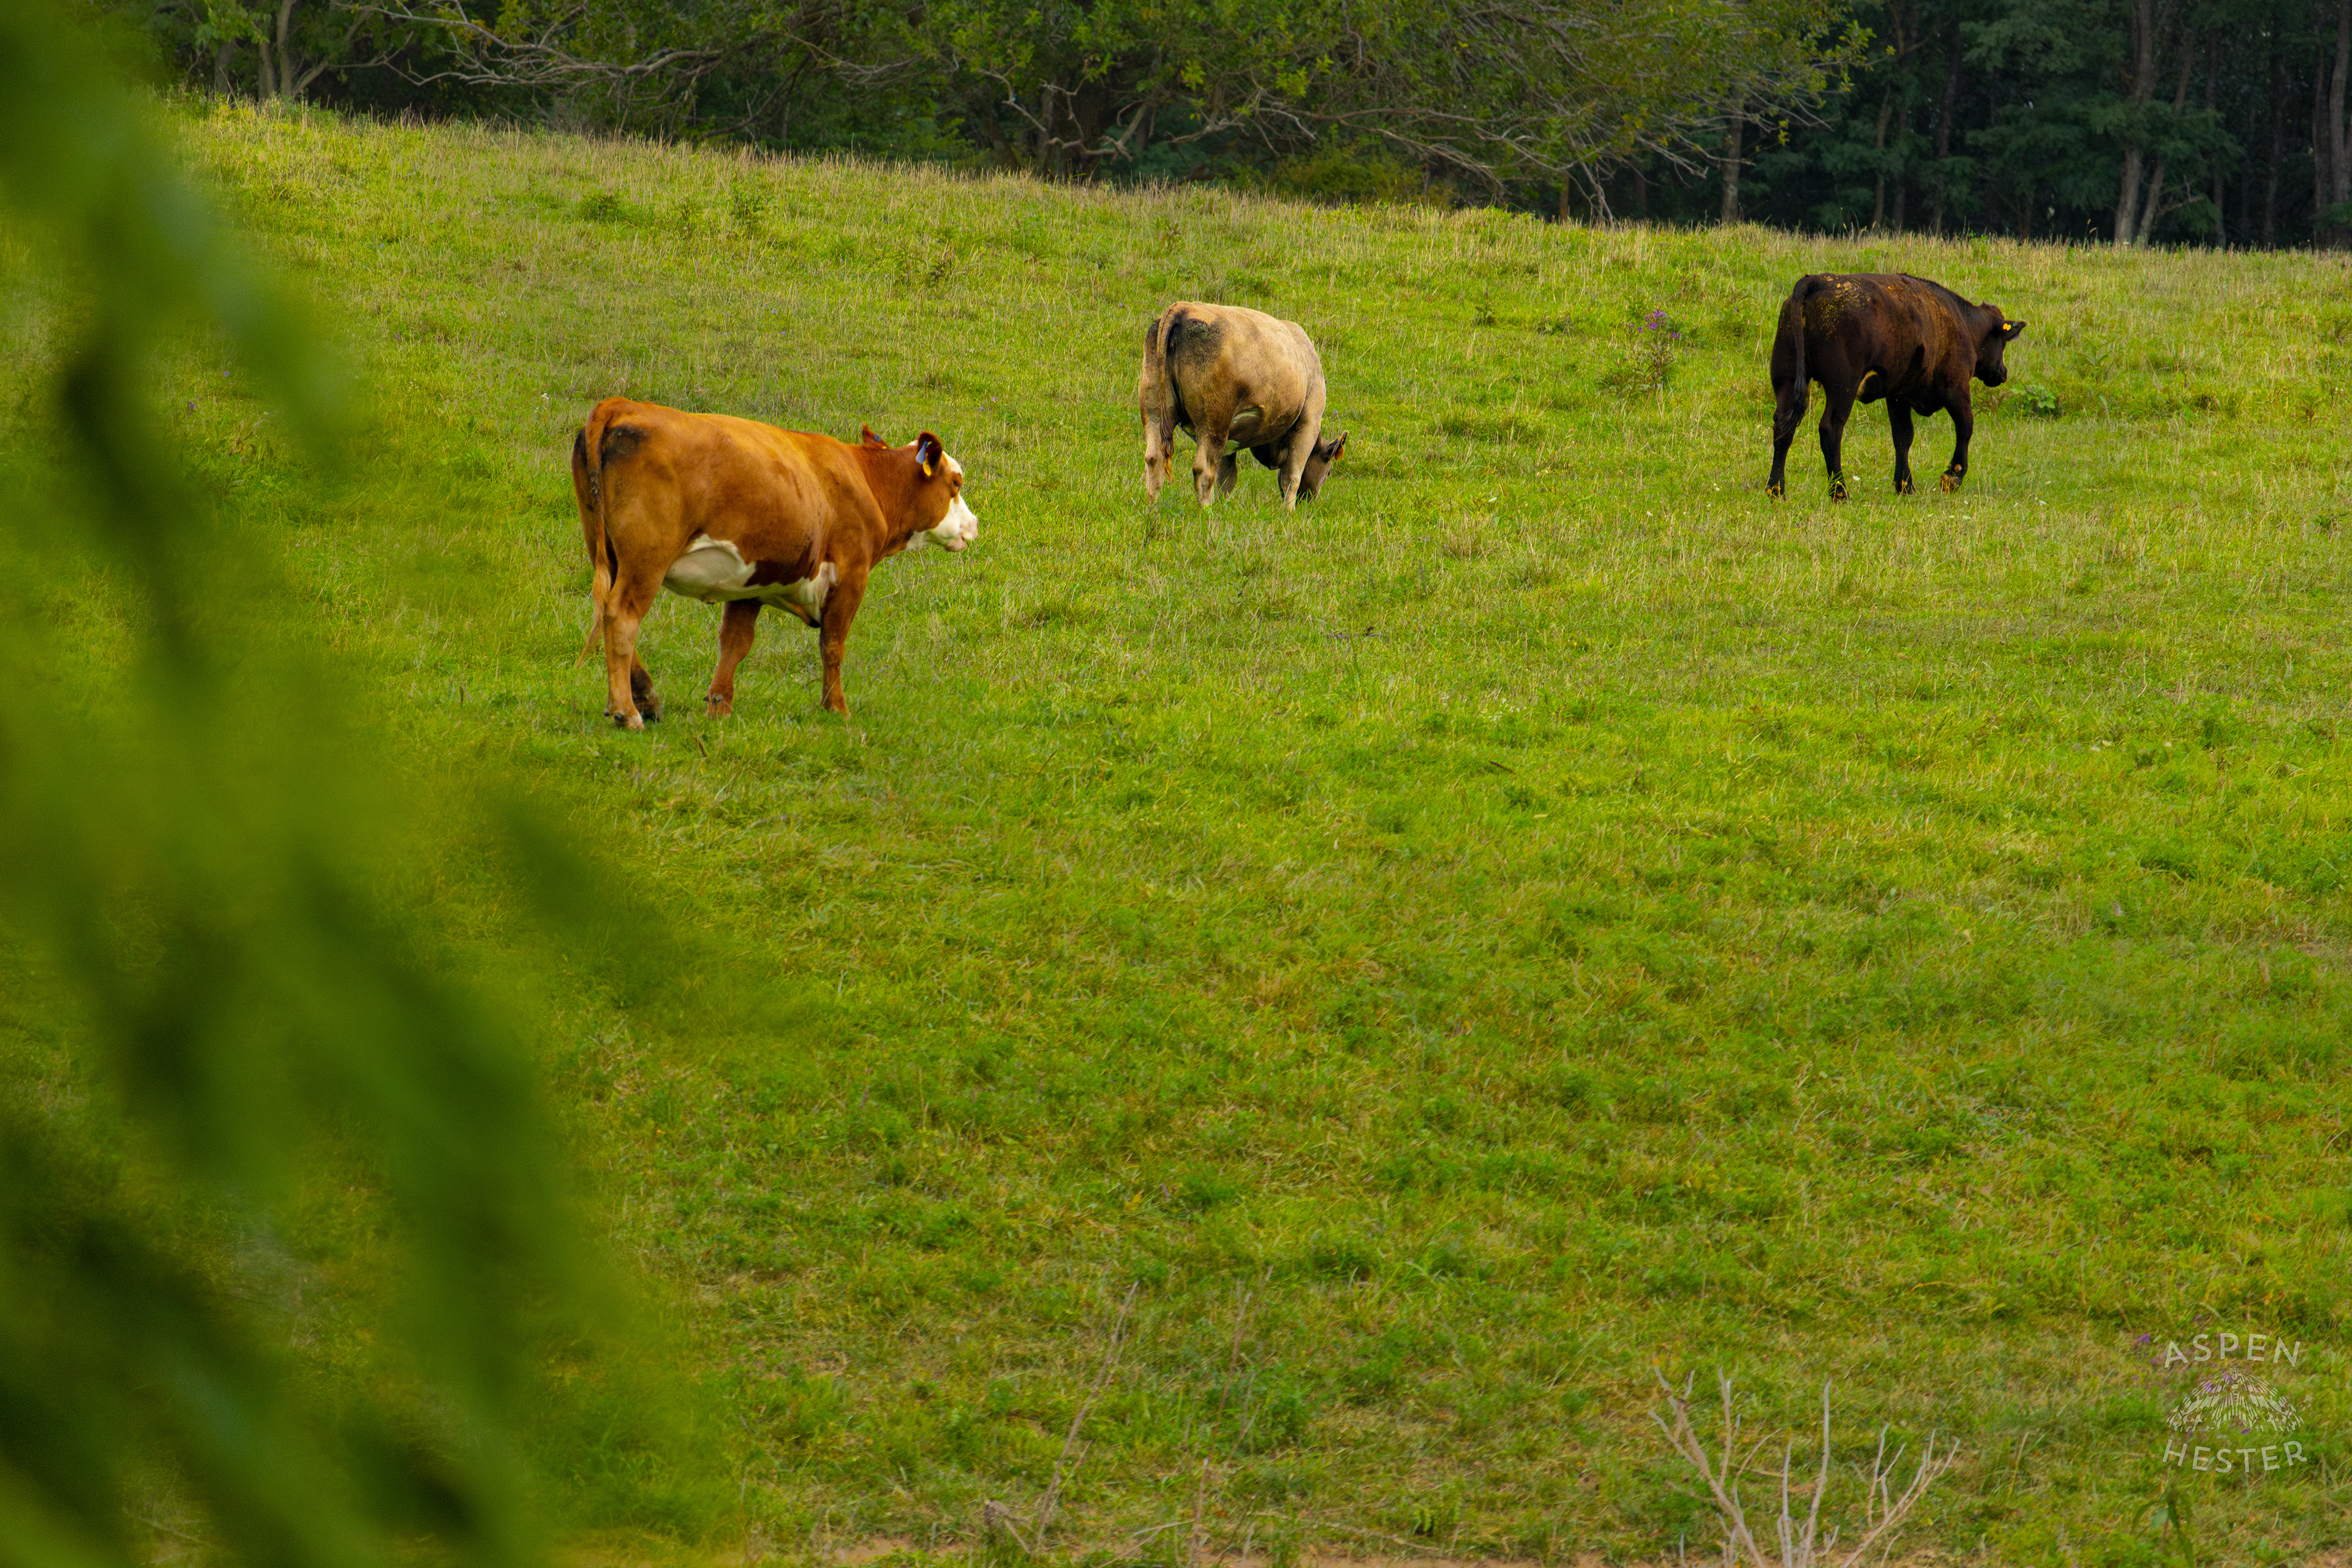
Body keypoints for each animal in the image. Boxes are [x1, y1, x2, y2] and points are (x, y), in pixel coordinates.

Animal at [570, 398, 978, 730]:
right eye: (956, 483)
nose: (974, 524)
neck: (866, 479)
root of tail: (622, 405)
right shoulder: (851, 575)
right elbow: (833, 645)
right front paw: (837, 708)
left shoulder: (751, 582)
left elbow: (735, 644)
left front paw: (719, 707)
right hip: (646, 561)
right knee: (621, 618)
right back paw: (627, 712)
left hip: (607, 551)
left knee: (606, 612)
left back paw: (646, 699)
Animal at [1139, 302, 1347, 508]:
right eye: (1328, 472)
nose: (1309, 501)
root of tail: (1183, 307)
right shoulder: (1309, 422)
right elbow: (1292, 477)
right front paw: (1289, 512)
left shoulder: (1229, 443)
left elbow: (1226, 479)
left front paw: (1222, 508)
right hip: (1213, 424)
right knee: (1203, 470)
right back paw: (1205, 511)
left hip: (1154, 410)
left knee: (1154, 458)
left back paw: (1153, 508)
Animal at [1766, 273, 2026, 500]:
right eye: (2003, 343)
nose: (2003, 373)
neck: (1960, 322)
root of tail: (1817, 281)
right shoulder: (1956, 386)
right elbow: (1965, 426)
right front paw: (1953, 477)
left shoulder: (1898, 395)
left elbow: (1903, 437)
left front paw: (1905, 485)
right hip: (1843, 386)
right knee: (1830, 428)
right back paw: (1840, 492)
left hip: (1785, 378)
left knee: (1783, 428)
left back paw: (1776, 490)